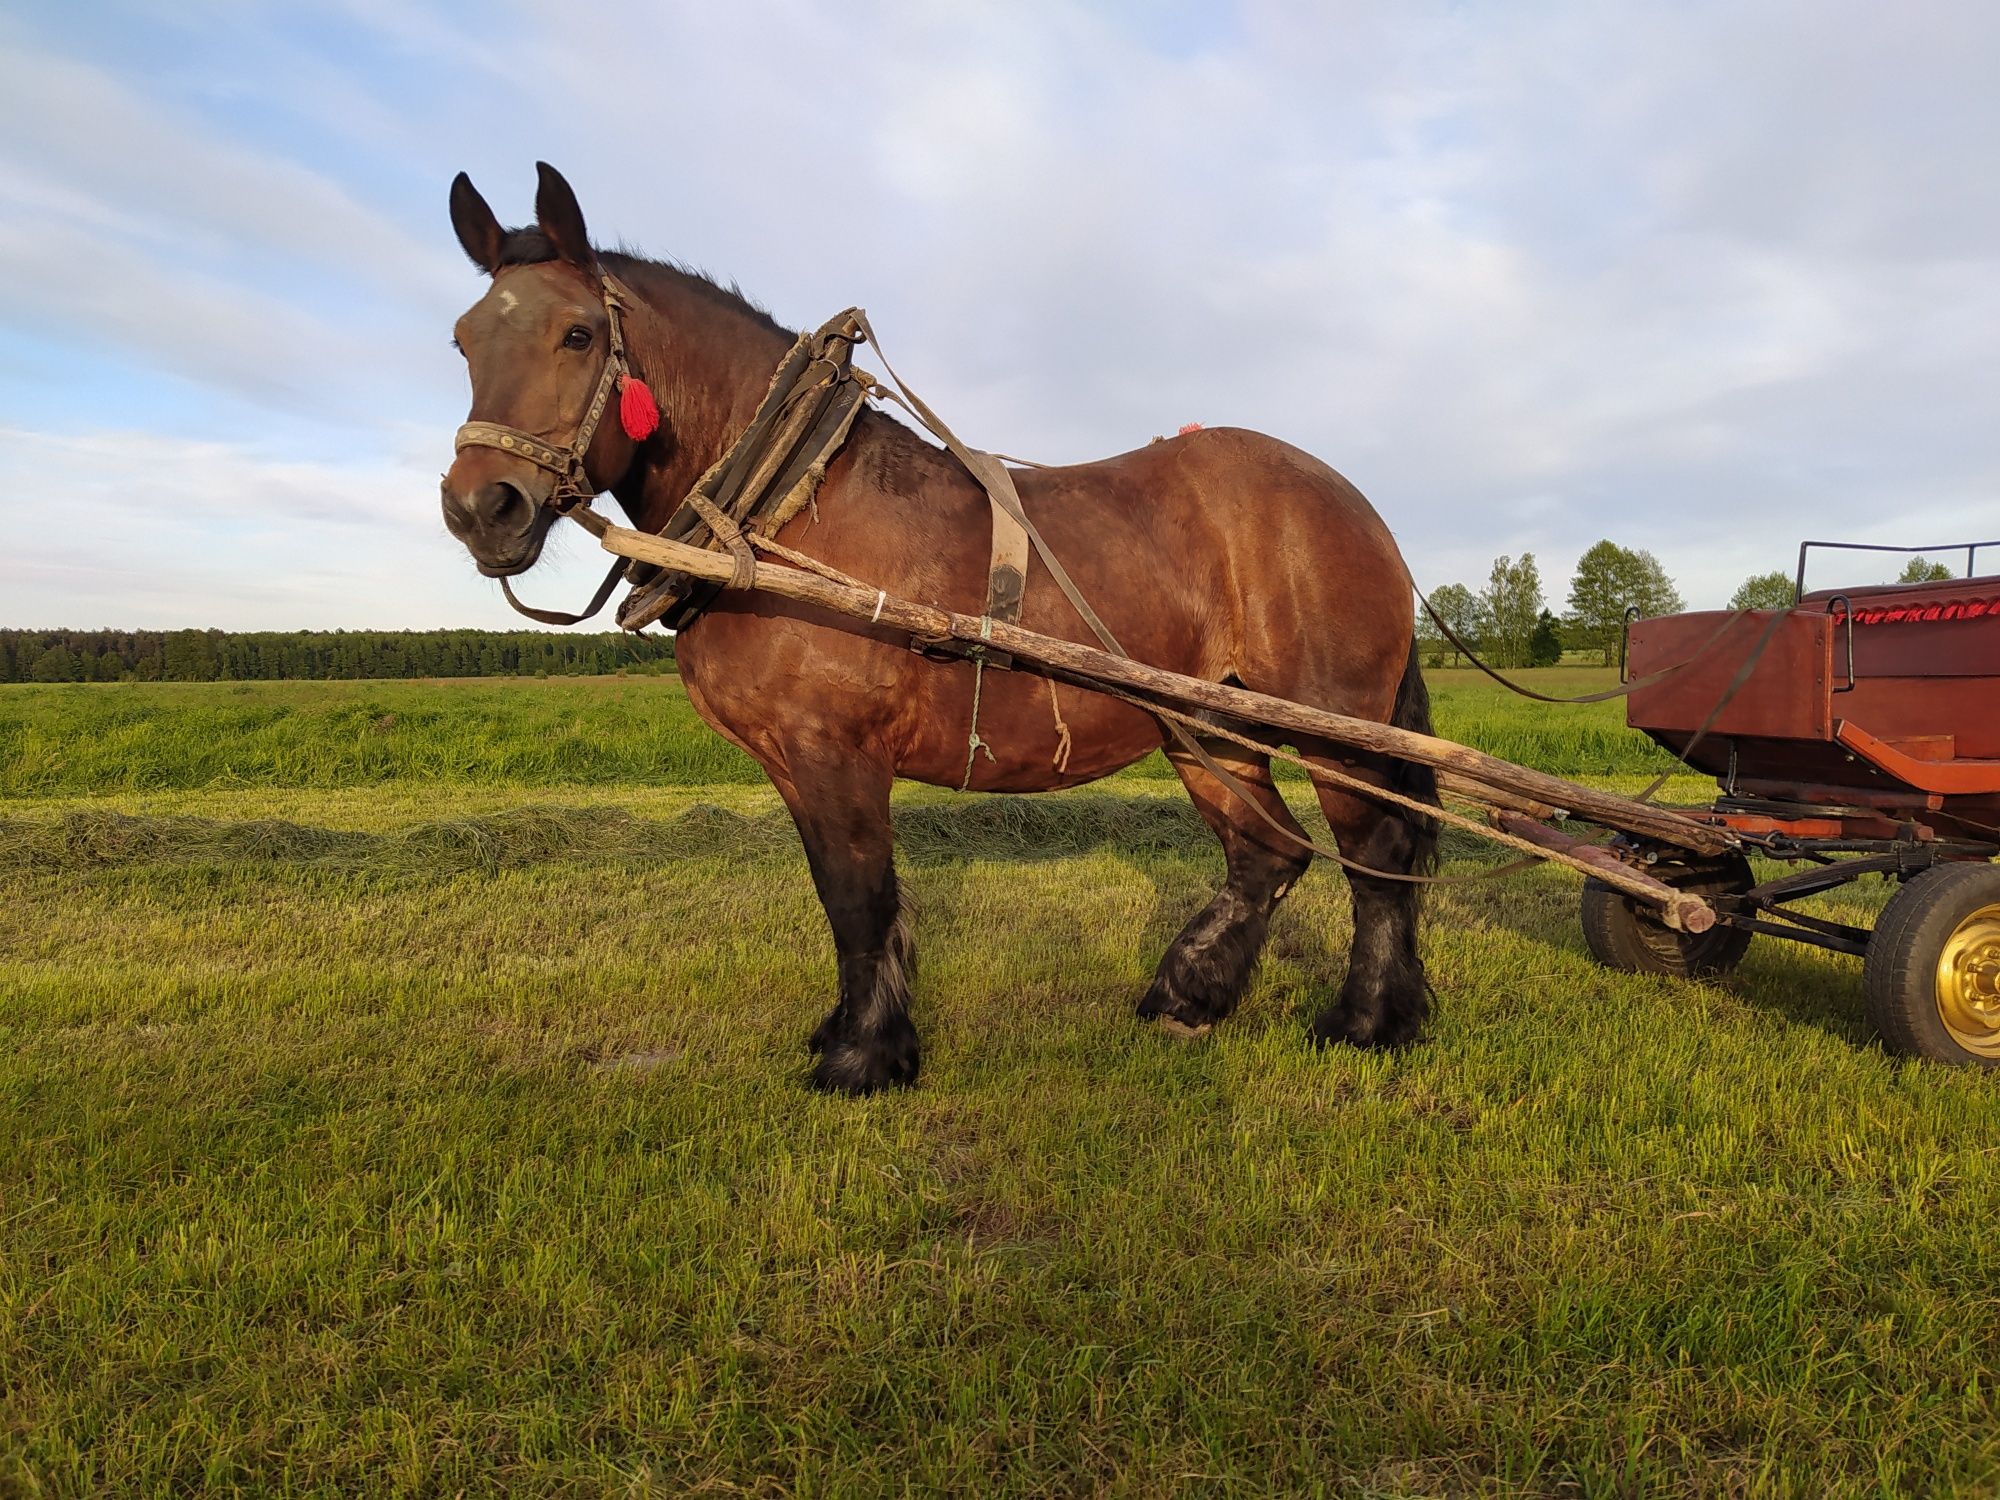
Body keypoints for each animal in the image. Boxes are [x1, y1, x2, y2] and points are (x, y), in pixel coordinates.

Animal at [438, 164, 1440, 1096]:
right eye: (463, 339)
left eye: (578, 334)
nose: (481, 508)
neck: (788, 501)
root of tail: (1354, 502)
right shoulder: (791, 760)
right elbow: (837, 898)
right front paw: (847, 1030)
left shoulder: (835, 749)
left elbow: (859, 899)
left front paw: (862, 1057)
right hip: (1208, 725)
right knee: (1267, 854)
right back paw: (1187, 995)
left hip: (1333, 723)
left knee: (1376, 856)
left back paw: (1366, 1021)